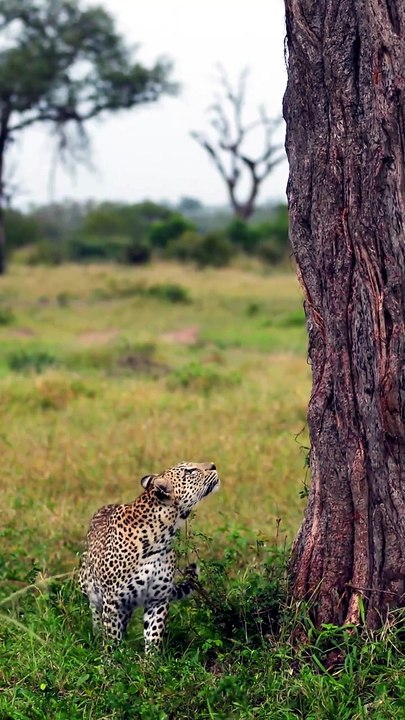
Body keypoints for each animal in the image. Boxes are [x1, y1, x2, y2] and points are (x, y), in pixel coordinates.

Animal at [79, 461, 220, 652]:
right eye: (189, 471)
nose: (213, 465)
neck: (162, 536)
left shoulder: (157, 599)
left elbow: (154, 635)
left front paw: (151, 660)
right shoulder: (113, 601)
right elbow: (112, 636)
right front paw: (112, 657)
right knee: (96, 613)